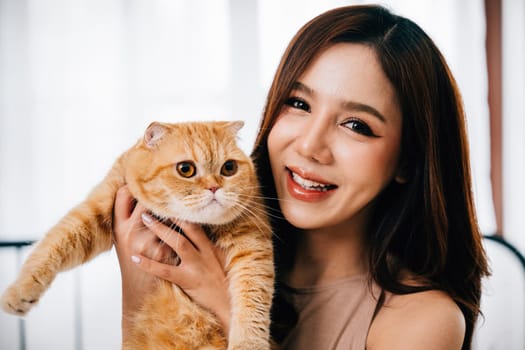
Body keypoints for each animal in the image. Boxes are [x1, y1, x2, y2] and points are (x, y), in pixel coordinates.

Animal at [0, 119, 272, 348]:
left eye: (229, 168)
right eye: (185, 169)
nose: (214, 187)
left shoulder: (253, 242)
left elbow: (252, 298)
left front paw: (248, 343)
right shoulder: (99, 206)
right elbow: (54, 243)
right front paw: (20, 292)